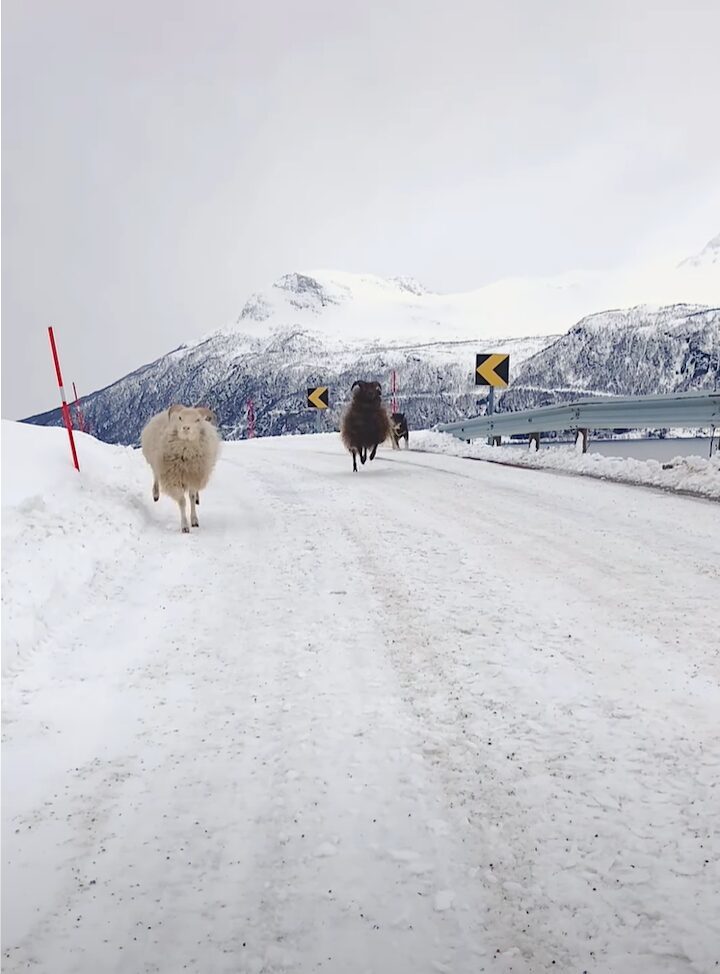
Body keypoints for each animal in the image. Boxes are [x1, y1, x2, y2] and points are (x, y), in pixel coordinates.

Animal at [140, 404, 219, 532]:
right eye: (180, 418)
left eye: (198, 420)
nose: (186, 428)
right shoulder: (173, 479)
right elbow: (182, 501)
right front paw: (185, 526)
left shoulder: (193, 476)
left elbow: (191, 497)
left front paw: (194, 520)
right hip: (155, 463)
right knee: (156, 476)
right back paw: (156, 494)